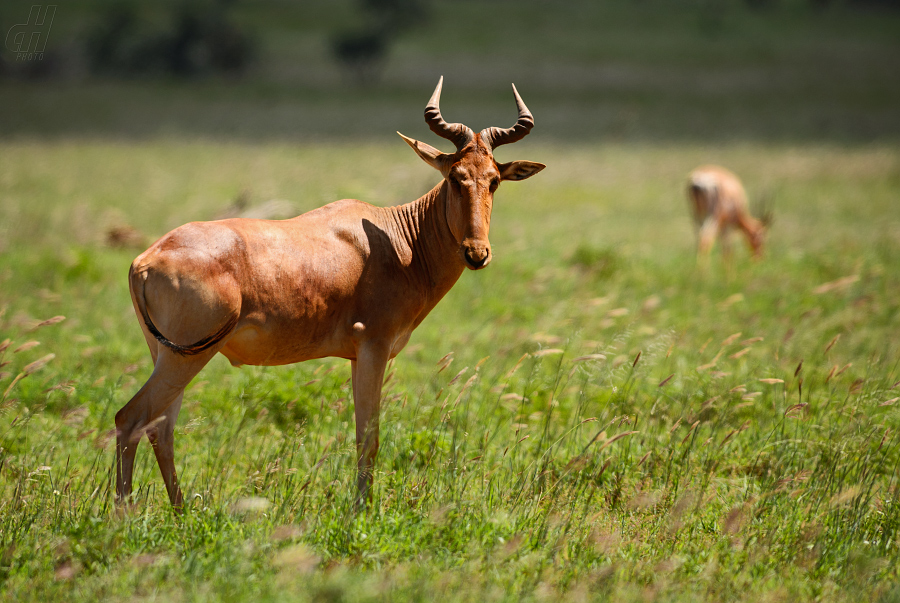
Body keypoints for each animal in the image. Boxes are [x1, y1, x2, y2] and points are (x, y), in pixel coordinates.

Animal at [117, 76, 544, 510]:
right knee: (131, 418)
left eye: (494, 179)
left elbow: (360, 434)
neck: (395, 238)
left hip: (167, 354)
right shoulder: (374, 346)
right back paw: (123, 514)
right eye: (455, 176)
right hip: (187, 356)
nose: (476, 253)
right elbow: (369, 437)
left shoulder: (356, 355)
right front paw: (362, 512)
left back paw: (180, 511)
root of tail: (145, 260)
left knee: (160, 427)